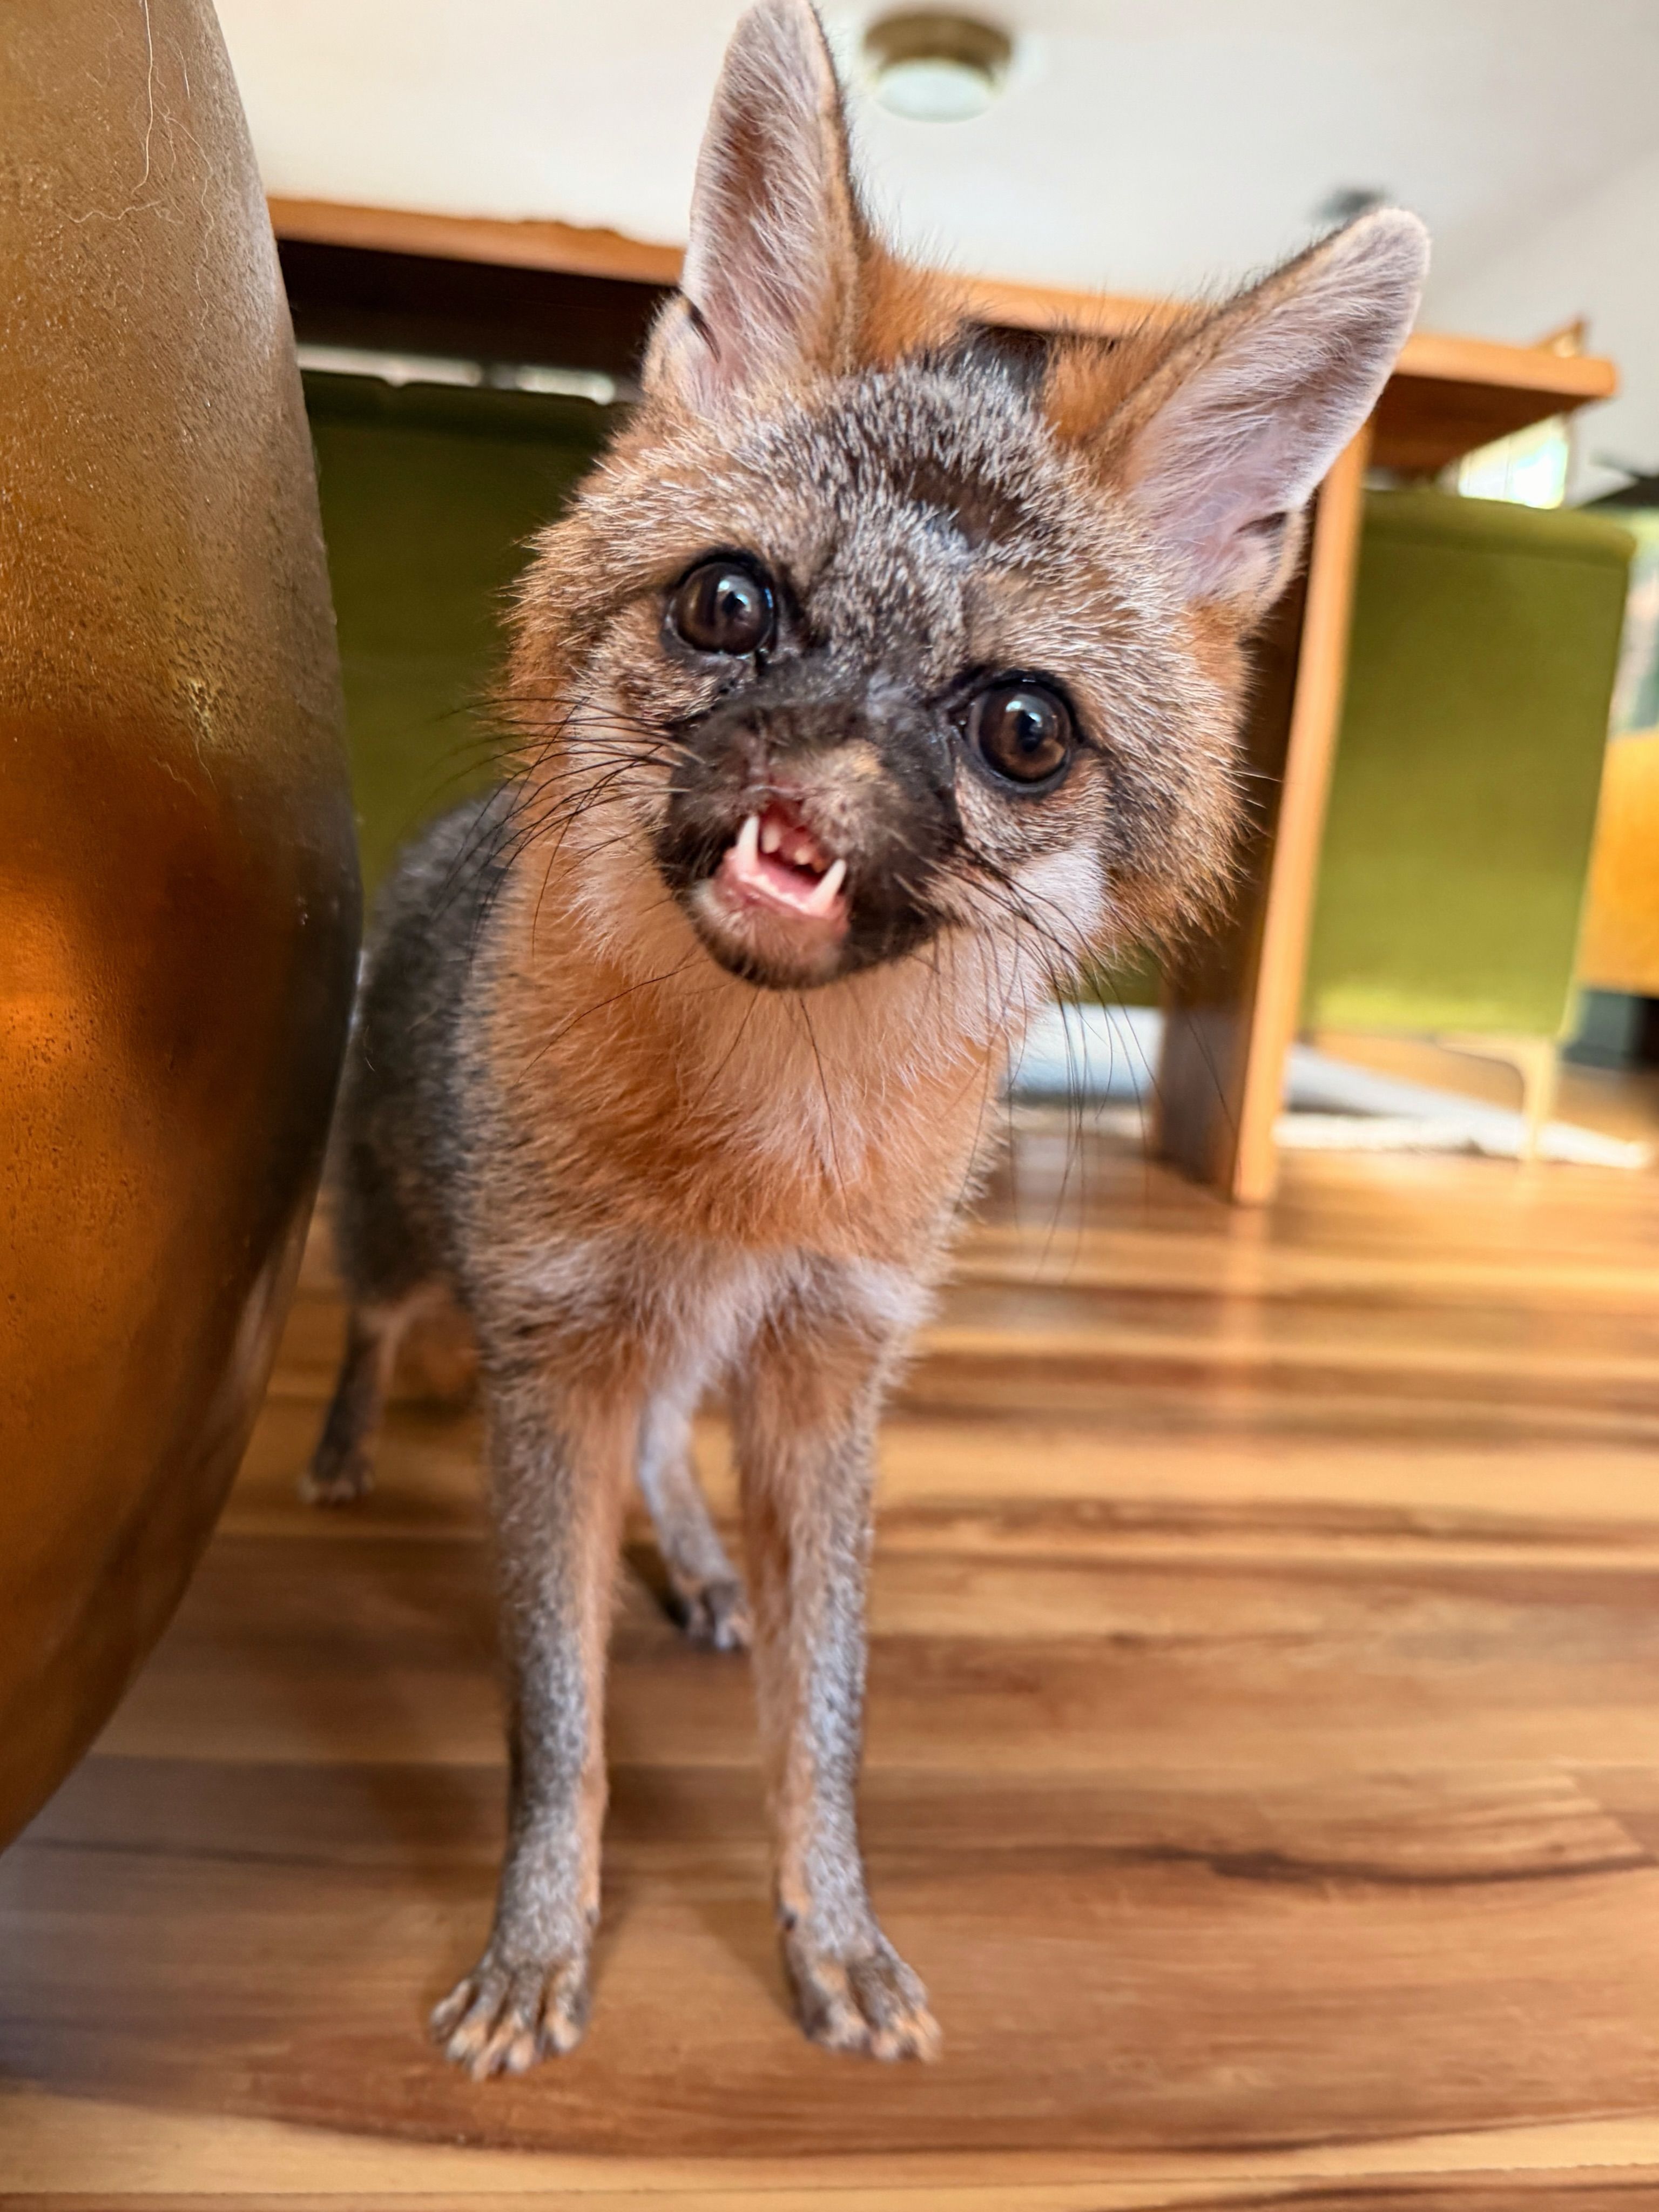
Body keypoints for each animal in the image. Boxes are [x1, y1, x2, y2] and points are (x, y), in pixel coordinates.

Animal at [304, 0, 1426, 2078]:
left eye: (1023, 729)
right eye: (732, 603)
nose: (812, 785)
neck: (747, 1165)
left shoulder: (830, 1374)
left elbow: (822, 1724)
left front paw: (828, 1924)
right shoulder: (555, 1357)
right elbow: (556, 1729)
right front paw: (539, 1939)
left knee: (666, 1452)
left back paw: (686, 1553)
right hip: (413, 1244)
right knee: (375, 1322)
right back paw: (344, 1450)